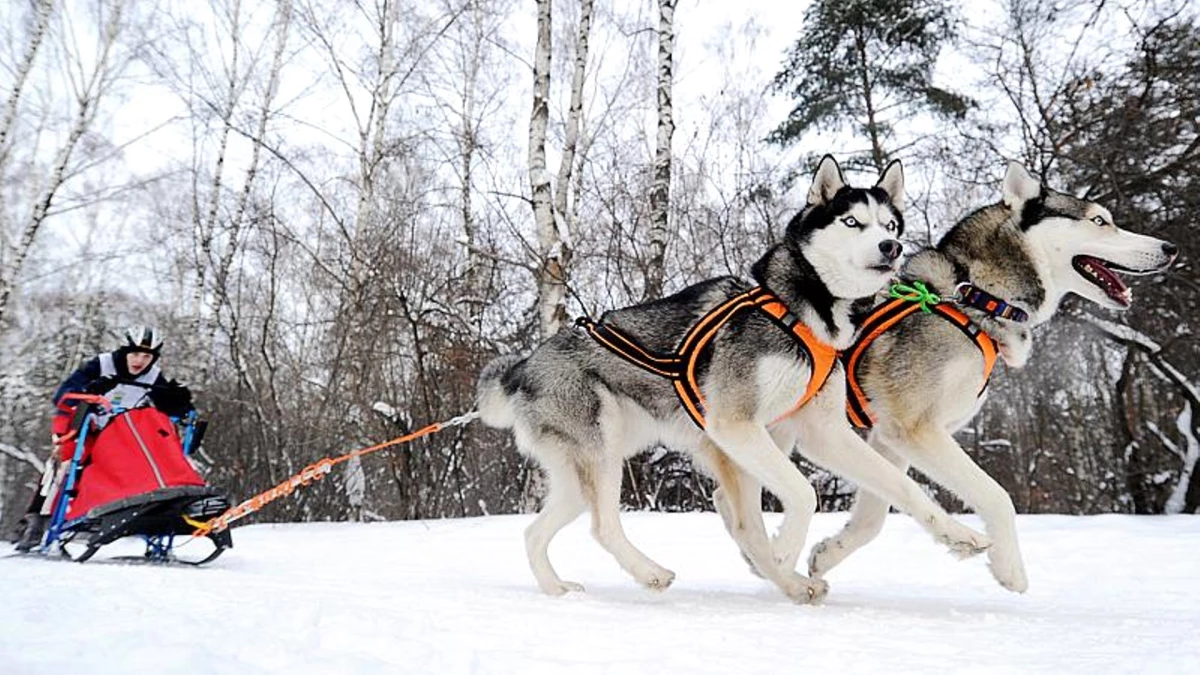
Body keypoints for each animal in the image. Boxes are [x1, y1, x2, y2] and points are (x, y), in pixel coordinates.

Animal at [480, 156, 993, 598]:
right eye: (852, 222)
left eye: (889, 225)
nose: (892, 248)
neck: (801, 311)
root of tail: (524, 365)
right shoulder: (734, 426)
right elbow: (801, 494)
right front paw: (782, 555)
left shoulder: (820, 433)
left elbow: (902, 487)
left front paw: (959, 535)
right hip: (603, 454)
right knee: (604, 526)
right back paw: (652, 573)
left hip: (581, 473)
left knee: (534, 533)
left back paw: (556, 588)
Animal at [715, 159, 1176, 590]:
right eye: (1099, 221)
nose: (1170, 248)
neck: (973, 297)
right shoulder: (917, 430)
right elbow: (995, 496)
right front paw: (1009, 568)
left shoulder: (888, 438)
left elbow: (873, 517)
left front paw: (827, 554)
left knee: (729, 495)